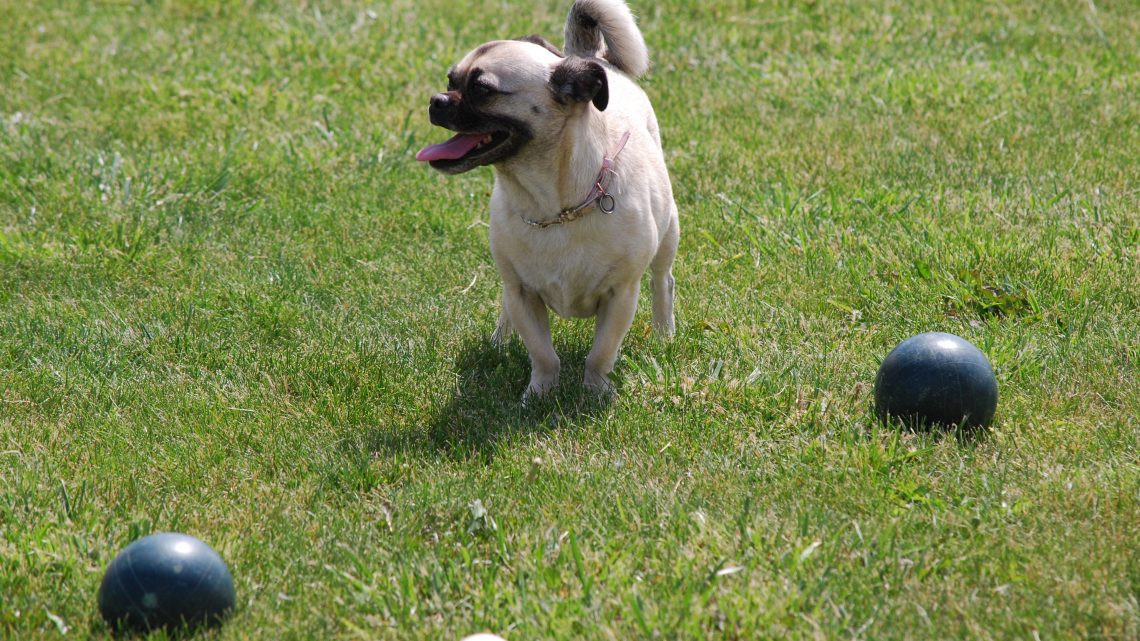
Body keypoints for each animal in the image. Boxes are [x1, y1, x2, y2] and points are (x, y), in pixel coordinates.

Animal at [416, 0, 679, 399]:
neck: (554, 205)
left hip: (668, 236)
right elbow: (542, 354)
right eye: (450, 82)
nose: (437, 100)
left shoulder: (620, 295)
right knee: (508, 308)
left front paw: (595, 392)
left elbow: (601, 353)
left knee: (663, 282)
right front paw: (539, 394)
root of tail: (589, 58)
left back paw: (665, 335)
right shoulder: (523, 293)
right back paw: (501, 340)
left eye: (482, 90)